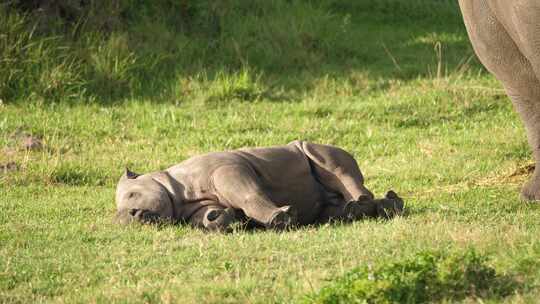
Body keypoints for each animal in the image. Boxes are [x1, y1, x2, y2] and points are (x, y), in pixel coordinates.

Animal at [117, 141, 404, 232]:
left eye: (133, 195)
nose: (130, 216)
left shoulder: (228, 169)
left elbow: (248, 193)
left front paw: (280, 218)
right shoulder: (194, 206)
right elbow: (209, 217)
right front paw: (223, 220)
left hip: (313, 148)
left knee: (330, 161)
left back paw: (372, 204)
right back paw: (360, 210)